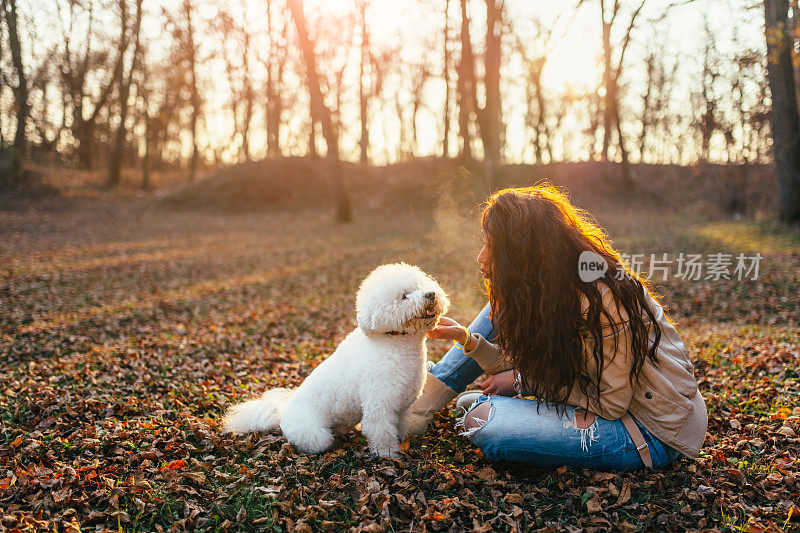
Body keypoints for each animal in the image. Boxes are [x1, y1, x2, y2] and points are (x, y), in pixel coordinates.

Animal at [222, 262, 450, 458]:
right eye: (404, 296)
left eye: (420, 286)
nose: (430, 294)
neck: (394, 340)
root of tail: (281, 414)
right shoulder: (379, 406)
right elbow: (382, 434)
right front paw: (389, 455)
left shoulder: (402, 406)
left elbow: (400, 427)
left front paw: (402, 444)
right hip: (316, 435)